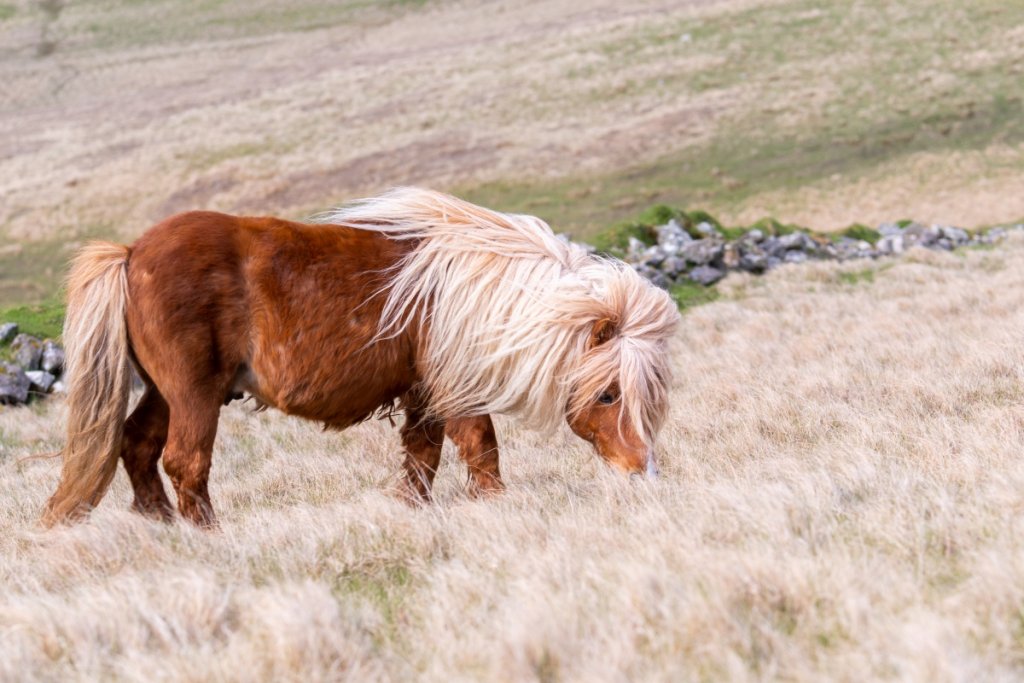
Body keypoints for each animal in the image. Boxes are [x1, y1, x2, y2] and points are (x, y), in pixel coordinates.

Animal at [42, 188, 680, 527]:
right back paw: (208, 537)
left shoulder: (424, 394)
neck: (477, 290)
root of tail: (130, 252)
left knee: (138, 445)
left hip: (164, 392)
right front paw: (495, 508)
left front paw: (412, 512)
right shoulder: (458, 388)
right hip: (193, 393)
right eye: (608, 394)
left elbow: (423, 458)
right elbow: (481, 450)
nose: (642, 473)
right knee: (185, 462)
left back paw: (161, 526)